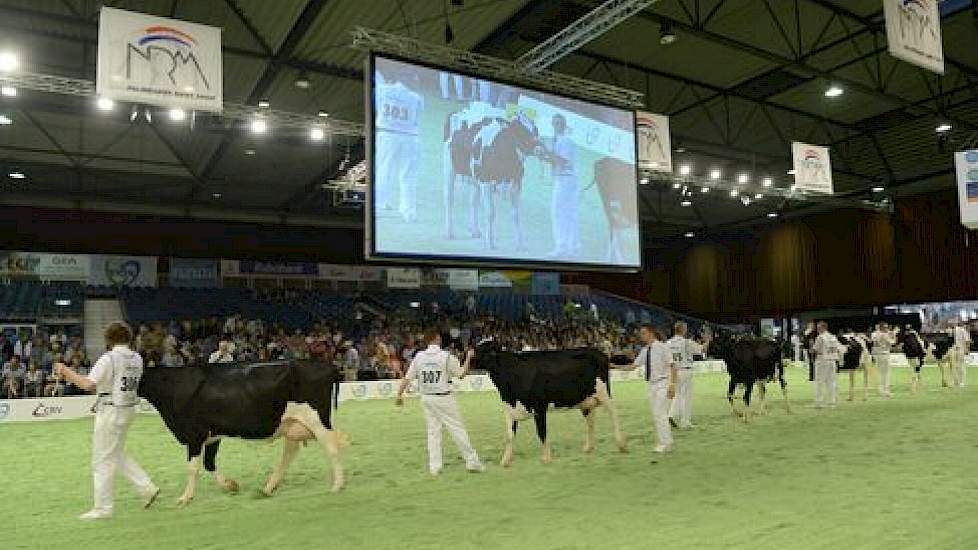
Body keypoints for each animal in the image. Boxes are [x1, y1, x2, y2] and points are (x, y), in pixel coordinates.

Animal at [137, 362, 344, 508]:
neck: (172, 385)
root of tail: (327, 365)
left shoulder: (194, 435)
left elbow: (193, 468)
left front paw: (185, 498)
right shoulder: (212, 435)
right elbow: (209, 463)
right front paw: (230, 486)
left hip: (317, 419)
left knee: (332, 447)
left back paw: (338, 485)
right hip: (291, 423)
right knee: (290, 452)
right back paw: (268, 488)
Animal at [442, 108, 540, 250]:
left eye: (535, 129)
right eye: (519, 129)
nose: (538, 147)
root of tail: (461, 111)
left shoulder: (516, 181)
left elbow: (516, 214)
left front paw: (521, 244)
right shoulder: (486, 181)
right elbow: (490, 212)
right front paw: (490, 243)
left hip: (474, 177)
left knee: (473, 201)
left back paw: (475, 230)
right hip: (449, 168)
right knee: (449, 199)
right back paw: (449, 232)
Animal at [472, 342, 624, 468]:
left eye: (484, 350)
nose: (470, 355)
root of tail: (599, 352)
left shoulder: (539, 407)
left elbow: (541, 432)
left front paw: (546, 458)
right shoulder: (510, 408)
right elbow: (509, 436)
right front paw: (505, 461)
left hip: (603, 392)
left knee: (614, 412)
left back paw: (621, 445)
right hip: (585, 399)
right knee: (591, 421)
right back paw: (589, 448)